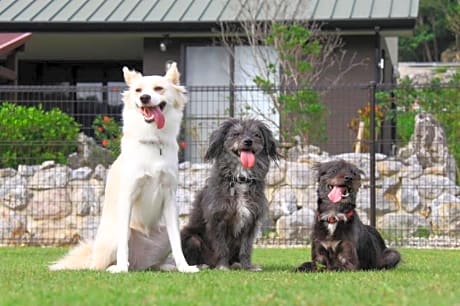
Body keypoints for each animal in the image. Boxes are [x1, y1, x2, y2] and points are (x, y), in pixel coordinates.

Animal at [49, 63, 199, 274]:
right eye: (138, 91)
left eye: (158, 89)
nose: (144, 98)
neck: (153, 141)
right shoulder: (128, 195)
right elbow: (123, 247)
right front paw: (121, 268)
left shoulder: (170, 198)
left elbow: (177, 243)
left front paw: (184, 267)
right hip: (116, 234)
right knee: (100, 264)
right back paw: (116, 266)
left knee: (152, 263)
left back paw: (164, 266)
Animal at [181, 119, 278, 270]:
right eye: (236, 134)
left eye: (256, 135)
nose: (248, 141)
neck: (240, 179)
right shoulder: (218, 218)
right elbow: (222, 247)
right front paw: (223, 266)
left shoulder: (251, 221)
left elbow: (246, 248)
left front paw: (247, 266)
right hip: (191, 238)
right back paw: (203, 265)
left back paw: (236, 264)